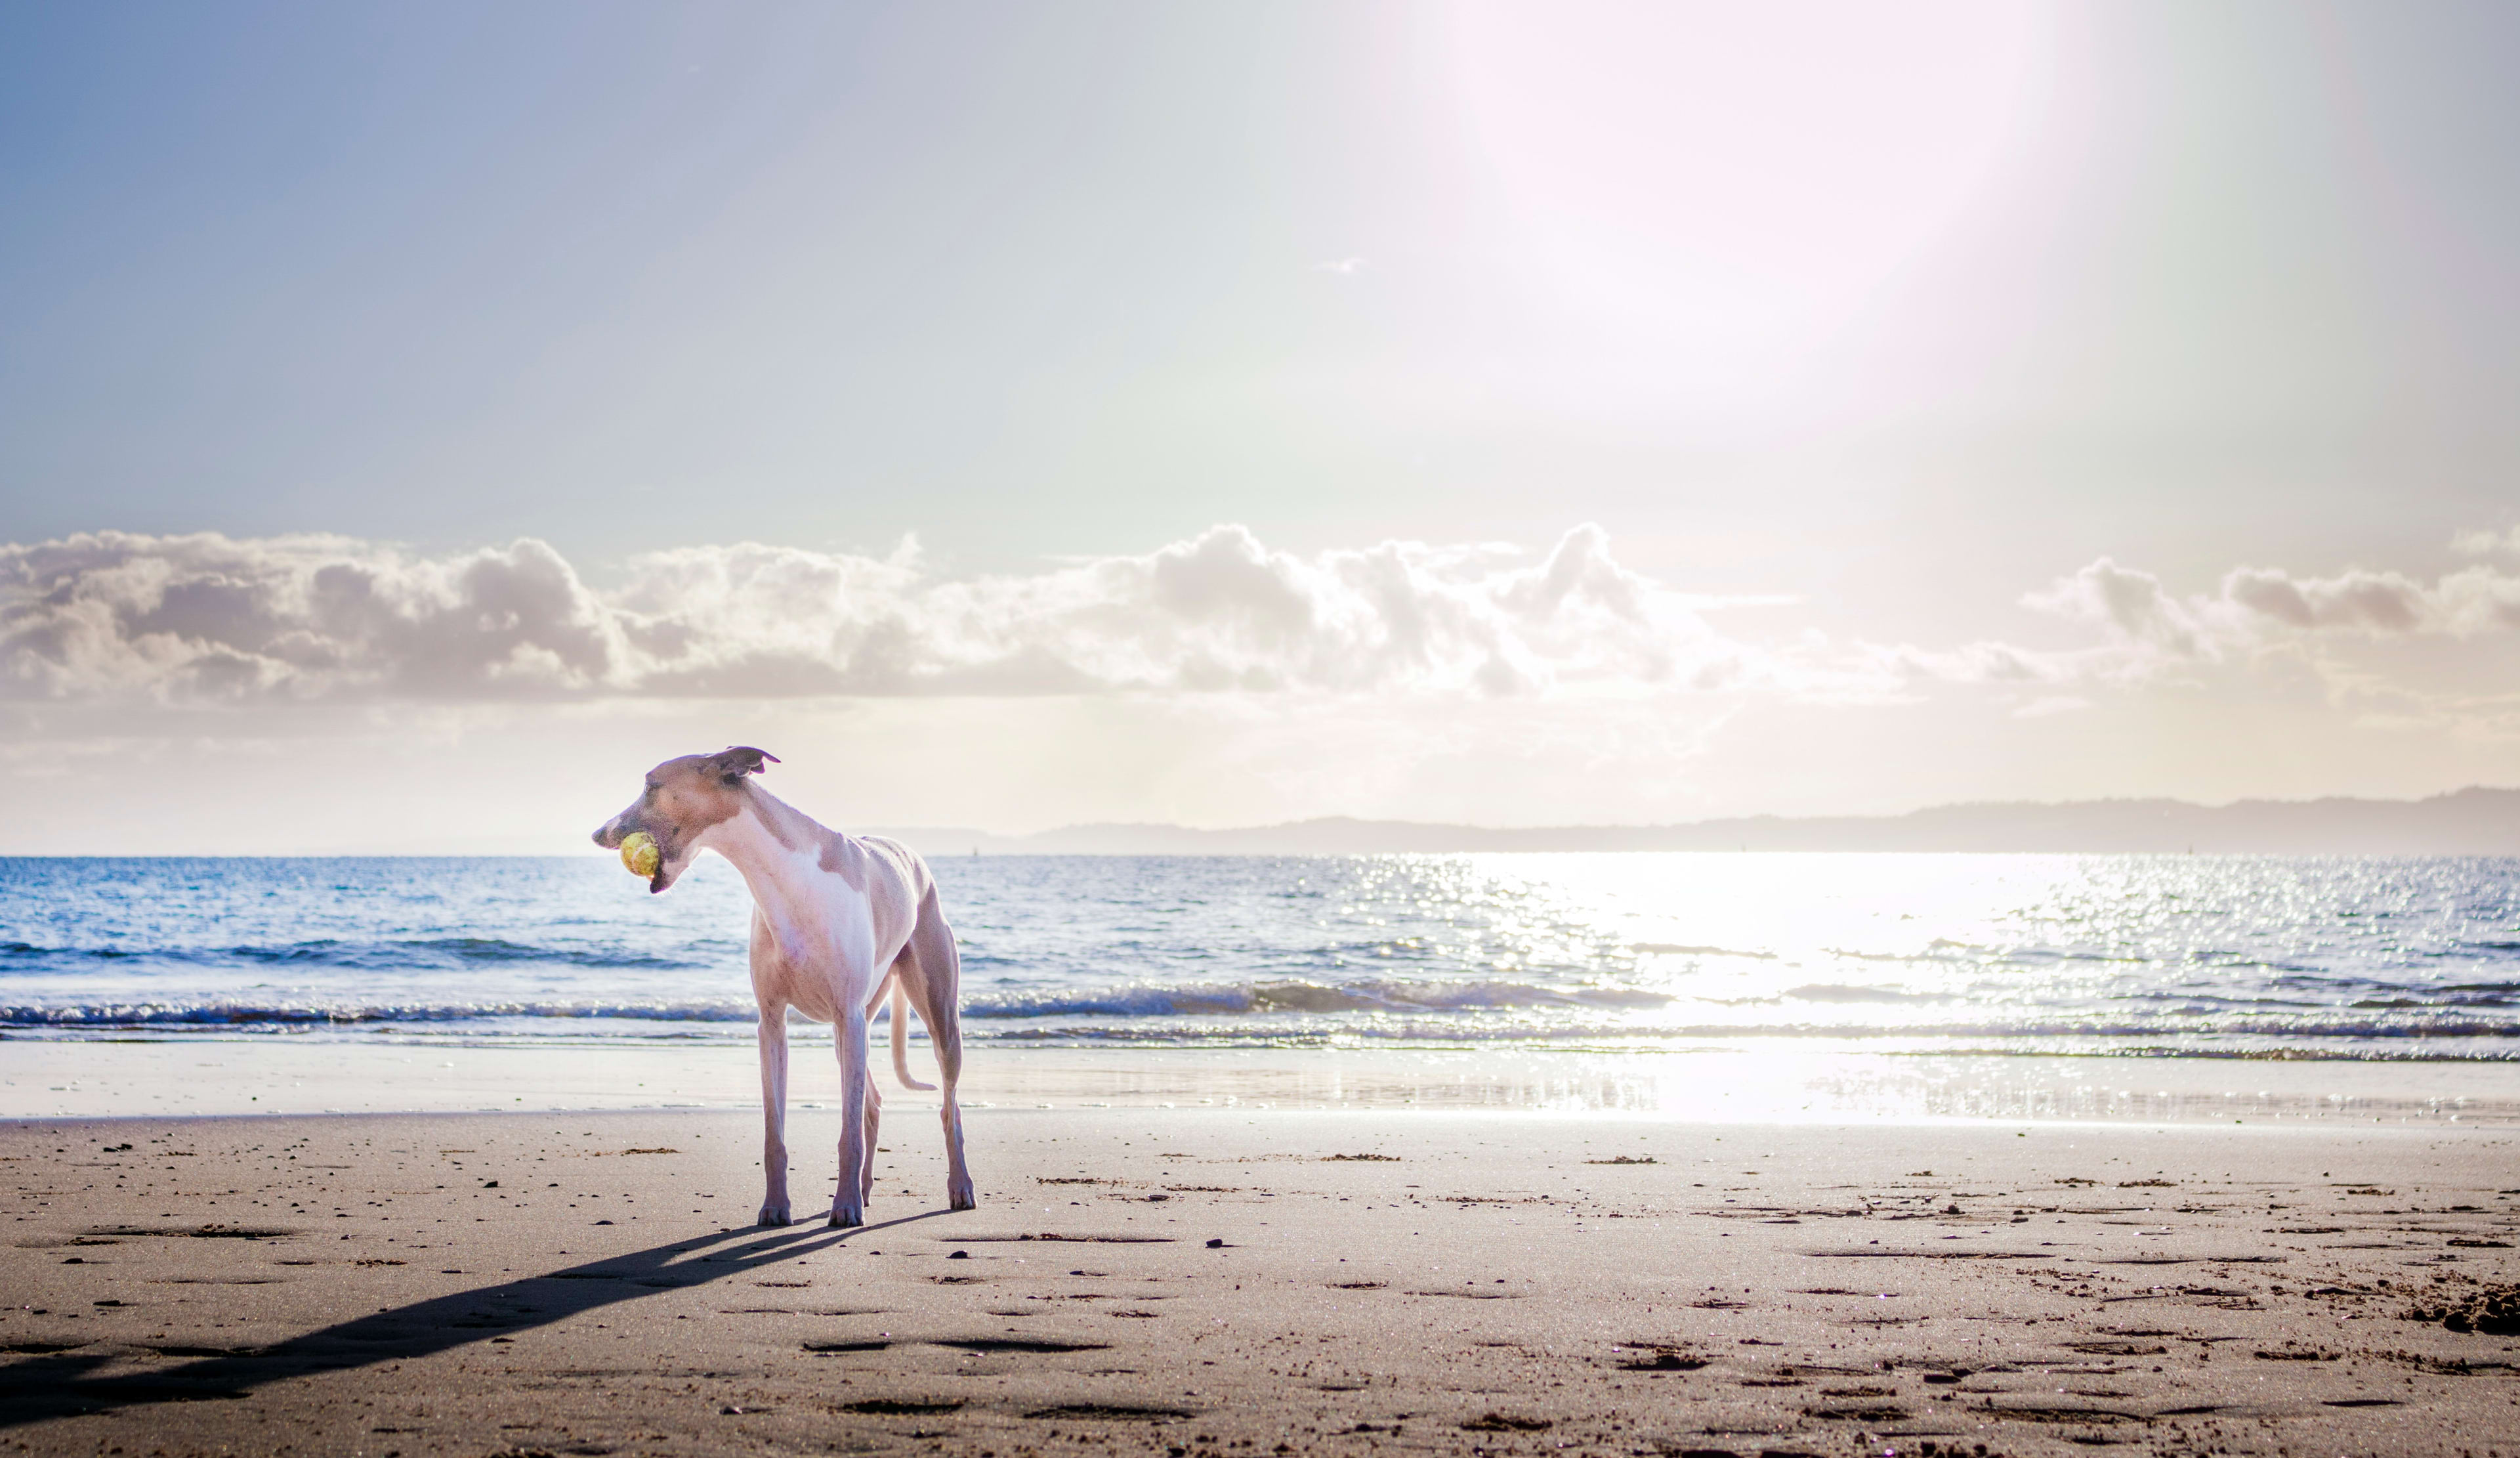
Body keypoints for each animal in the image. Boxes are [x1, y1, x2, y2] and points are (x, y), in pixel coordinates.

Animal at [589, 741, 973, 1220]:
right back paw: (865, 1188)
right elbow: (776, 1132)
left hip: (933, 1016)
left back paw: (957, 1186)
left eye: (650, 786)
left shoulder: (847, 1013)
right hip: (851, 1032)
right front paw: (775, 1207)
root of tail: (913, 858)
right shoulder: (772, 1022)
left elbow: (847, 1133)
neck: (785, 878)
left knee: (948, 1108)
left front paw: (844, 1206)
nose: (597, 833)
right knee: (872, 1104)